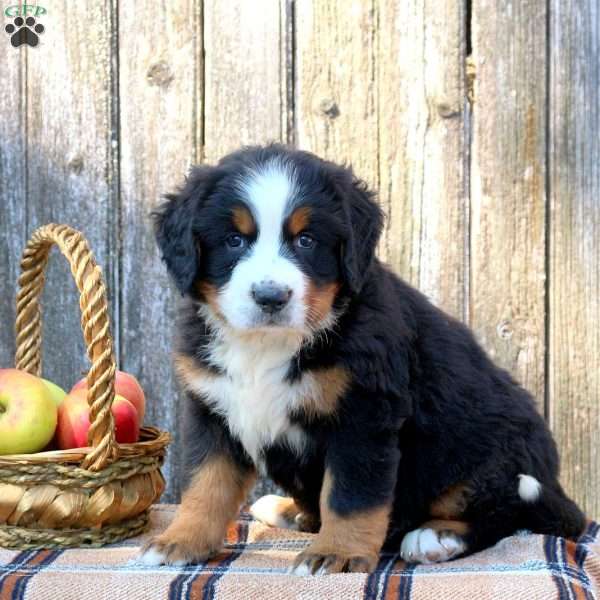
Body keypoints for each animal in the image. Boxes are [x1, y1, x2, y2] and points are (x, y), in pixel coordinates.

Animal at [139, 143, 580, 576]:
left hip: (491, 457)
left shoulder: (363, 416)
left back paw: (436, 537)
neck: (268, 345)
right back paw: (286, 509)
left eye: (306, 241)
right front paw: (180, 541)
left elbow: (351, 495)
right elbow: (205, 484)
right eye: (234, 240)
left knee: (508, 514)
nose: (271, 297)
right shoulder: (213, 408)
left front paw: (337, 554)